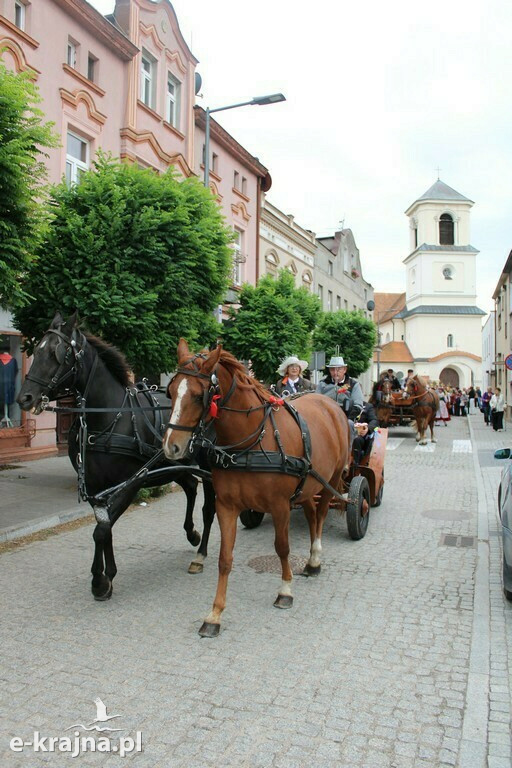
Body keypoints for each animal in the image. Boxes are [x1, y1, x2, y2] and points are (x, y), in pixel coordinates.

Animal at [17, 312, 215, 600]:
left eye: (58, 353)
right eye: (37, 350)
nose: (25, 398)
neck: (107, 417)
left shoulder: (131, 483)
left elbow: (101, 530)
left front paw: (100, 580)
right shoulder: (95, 487)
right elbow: (105, 526)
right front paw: (105, 575)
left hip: (208, 468)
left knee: (209, 508)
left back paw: (201, 553)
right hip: (173, 463)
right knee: (190, 486)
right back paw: (192, 534)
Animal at [164, 340, 352, 636]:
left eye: (197, 395)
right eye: (171, 391)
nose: (171, 446)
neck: (250, 442)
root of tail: (329, 403)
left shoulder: (280, 506)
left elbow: (282, 548)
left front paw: (285, 590)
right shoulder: (226, 506)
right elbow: (224, 559)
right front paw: (215, 613)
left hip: (330, 481)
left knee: (320, 515)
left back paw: (314, 560)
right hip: (307, 485)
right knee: (311, 513)